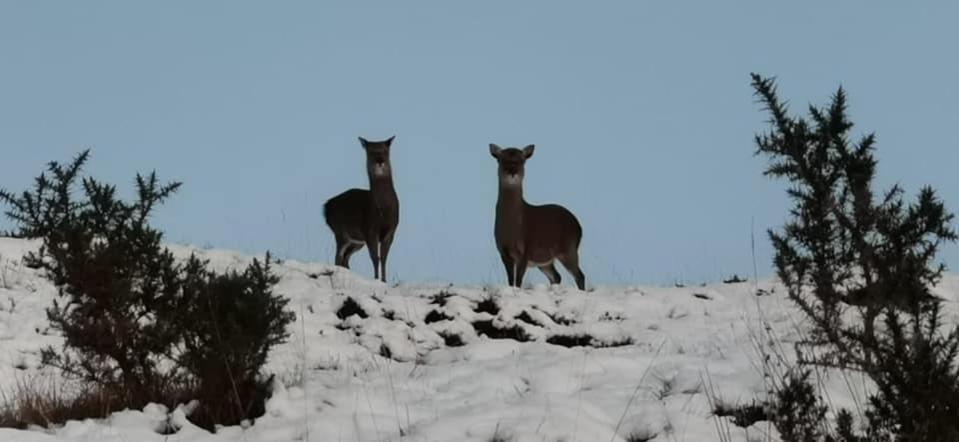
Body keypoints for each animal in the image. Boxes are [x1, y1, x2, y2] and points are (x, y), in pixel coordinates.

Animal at [322, 135, 398, 282]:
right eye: (371, 152)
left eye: (386, 151)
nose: (380, 161)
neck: (383, 210)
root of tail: (325, 208)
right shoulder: (370, 229)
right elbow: (375, 258)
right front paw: (376, 279)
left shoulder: (391, 230)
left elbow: (384, 258)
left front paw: (384, 280)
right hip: (340, 232)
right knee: (339, 257)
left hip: (356, 241)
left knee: (346, 258)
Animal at [488, 143, 584, 292]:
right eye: (501, 159)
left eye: (522, 160)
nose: (512, 172)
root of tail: (580, 227)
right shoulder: (503, 251)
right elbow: (510, 281)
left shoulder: (525, 251)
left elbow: (518, 281)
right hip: (545, 260)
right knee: (557, 276)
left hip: (569, 248)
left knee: (579, 275)